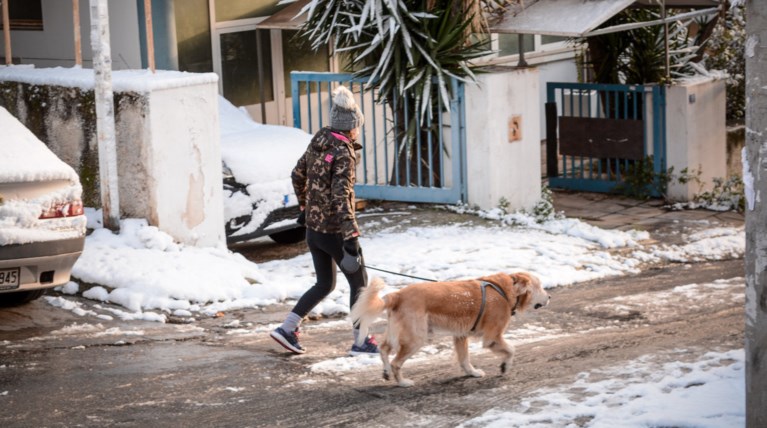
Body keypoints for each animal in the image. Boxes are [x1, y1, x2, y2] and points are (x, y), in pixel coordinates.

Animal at [352, 272, 548, 386]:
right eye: (540, 286)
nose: (550, 297)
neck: (505, 289)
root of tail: (398, 294)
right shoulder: (493, 337)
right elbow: (512, 350)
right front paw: (505, 367)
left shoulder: (460, 336)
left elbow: (464, 359)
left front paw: (472, 373)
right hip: (415, 339)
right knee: (396, 363)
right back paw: (403, 382)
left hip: (396, 333)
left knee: (383, 349)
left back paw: (385, 372)